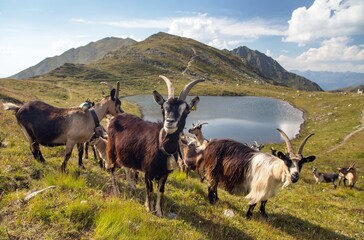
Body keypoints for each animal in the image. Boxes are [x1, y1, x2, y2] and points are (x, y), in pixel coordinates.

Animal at [106, 75, 205, 218]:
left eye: (186, 110)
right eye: (163, 108)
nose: (169, 122)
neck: (162, 147)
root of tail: (114, 118)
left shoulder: (164, 174)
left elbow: (160, 191)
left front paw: (159, 211)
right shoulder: (148, 172)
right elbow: (150, 190)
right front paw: (149, 208)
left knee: (126, 168)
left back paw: (132, 186)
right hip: (111, 150)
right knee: (111, 168)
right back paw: (117, 191)